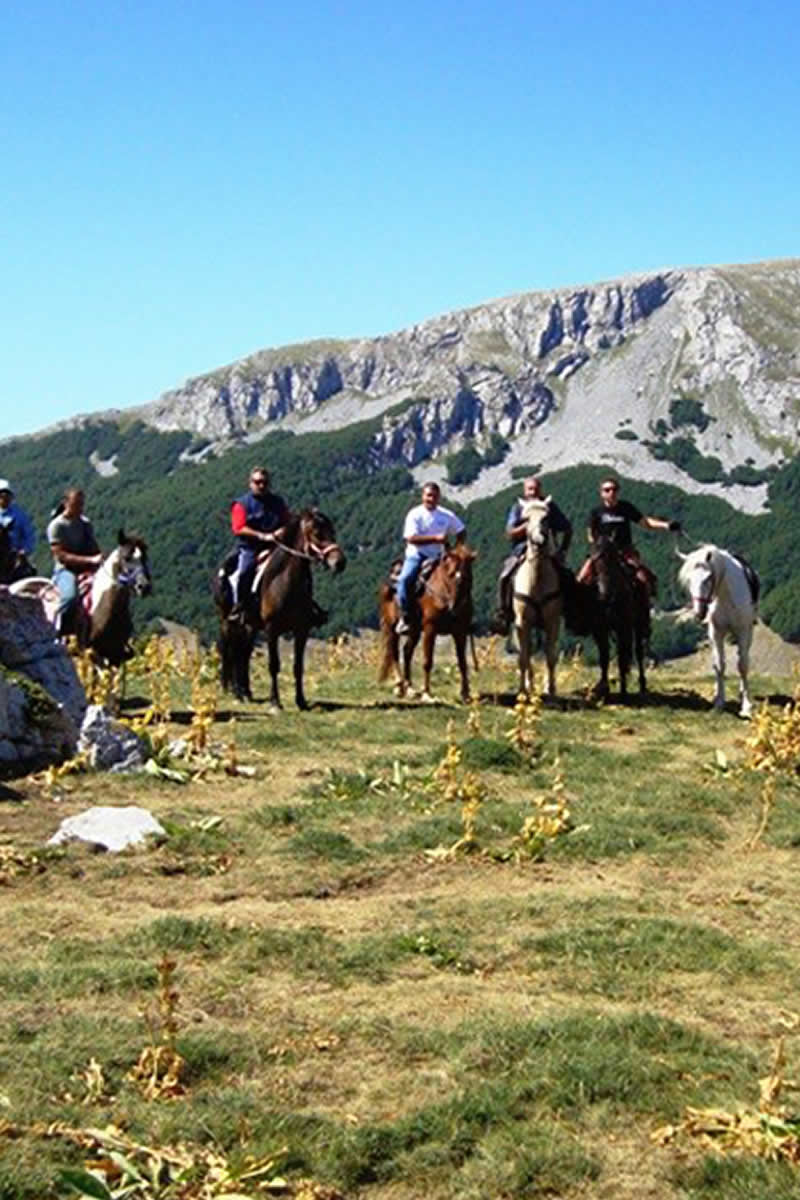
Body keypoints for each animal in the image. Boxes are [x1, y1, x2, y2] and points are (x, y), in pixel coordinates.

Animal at [214, 508, 346, 709]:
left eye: (332, 530)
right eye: (317, 533)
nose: (339, 562)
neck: (285, 581)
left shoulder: (301, 630)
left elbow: (298, 666)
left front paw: (301, 701)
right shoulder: (272, 629)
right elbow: (273, 664)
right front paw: (275, 701)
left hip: (250, 626)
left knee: (244, 653)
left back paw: (246, 692)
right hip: (227, 621)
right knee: (231, 650)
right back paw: (233, 691)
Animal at [378, 543, 476, 703]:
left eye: (468, 577)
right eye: (450, 575)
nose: (454, 607)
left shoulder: (460, 631)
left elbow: (462, 662)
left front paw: (465, 694)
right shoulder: (430, 629)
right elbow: (427, 661)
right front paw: (427, 693)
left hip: (415, 630)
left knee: (407, 652)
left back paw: (410, 689)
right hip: (391, 627)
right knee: (394, 652)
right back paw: (399, 686)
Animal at [511, 497, 563, 697]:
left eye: (546, 517)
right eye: (525, 519)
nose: (539, 541)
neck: (537, 579)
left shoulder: (553, 621)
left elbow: (550, 656)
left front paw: (551, 688)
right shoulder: (522, 622)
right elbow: (523, 658)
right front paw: (522, 690)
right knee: (525, 653)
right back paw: (529, 686)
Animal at [677, 544, 759, 718]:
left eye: (708, 578)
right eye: (689, 580)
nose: (699, 613)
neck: (726, 595)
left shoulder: (743, 630)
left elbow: (742, 665)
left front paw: (746, 706)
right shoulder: (716, 632)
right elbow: (719, 665)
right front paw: (719, 702)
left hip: (748, 632)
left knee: (743, 658)